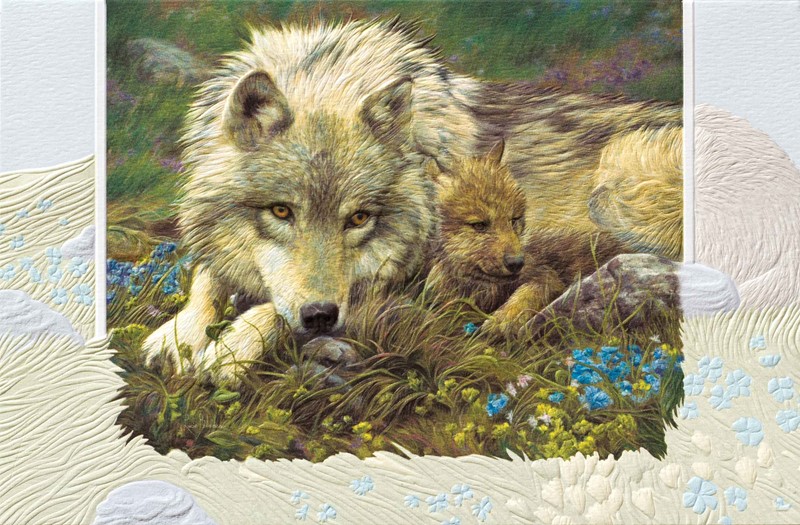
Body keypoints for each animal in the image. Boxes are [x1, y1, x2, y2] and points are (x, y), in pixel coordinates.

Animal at [143, 18, 682, 380]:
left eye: (360, 218)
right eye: (281, 211)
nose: (321, 317)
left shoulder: (394, 278)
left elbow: (272, 310)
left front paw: (228, 352)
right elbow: (207, 278)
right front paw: (179, 337)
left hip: (618, 181)